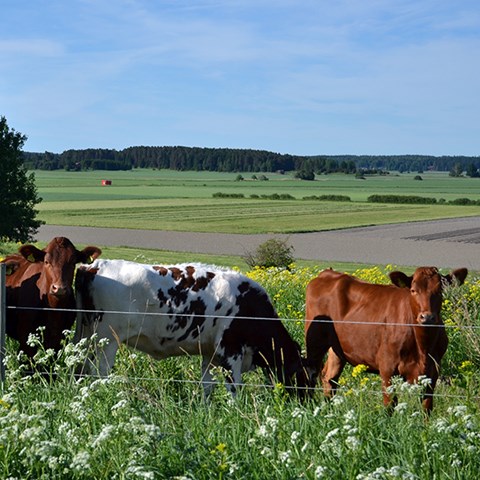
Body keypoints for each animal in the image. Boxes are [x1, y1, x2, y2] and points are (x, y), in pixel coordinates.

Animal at [75, 260, 308, 396]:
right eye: (306, 375)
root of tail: (94, 265)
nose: (308, 402)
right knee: (100, 372)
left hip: (86, 337)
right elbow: (234, 387)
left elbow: (207, 385)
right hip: (106, 340)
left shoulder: (210, 353)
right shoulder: (230, 350)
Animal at [306, 266, 466, 412]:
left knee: (330, 377)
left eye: (440, 290)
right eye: (413, 290)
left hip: (337, 350)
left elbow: (427, 407)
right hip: (314, 343)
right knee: (311, 373)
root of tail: (328, 273)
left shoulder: (432, 372)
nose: (426, 317)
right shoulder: (387, 368)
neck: (423, 347)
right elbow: (390, 406)